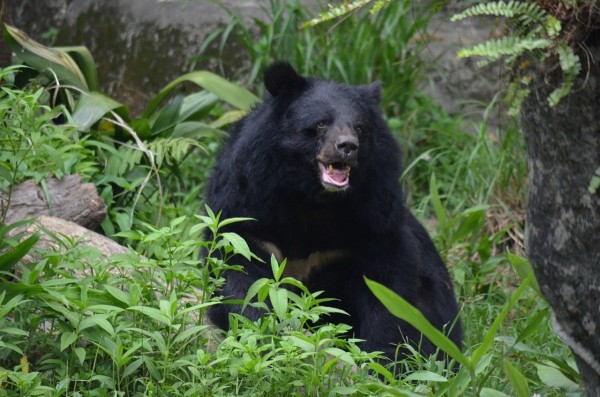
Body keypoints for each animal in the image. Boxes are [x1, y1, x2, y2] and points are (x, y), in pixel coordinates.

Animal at [204, 62, 462, 358]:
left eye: (359, 127)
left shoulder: (374, 216)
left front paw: (378, 355)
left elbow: (387, 285)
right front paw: (260, 332)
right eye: (321, 123)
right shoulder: (247, 201)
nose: (347, 146)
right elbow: (237, 270)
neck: (315, 198)